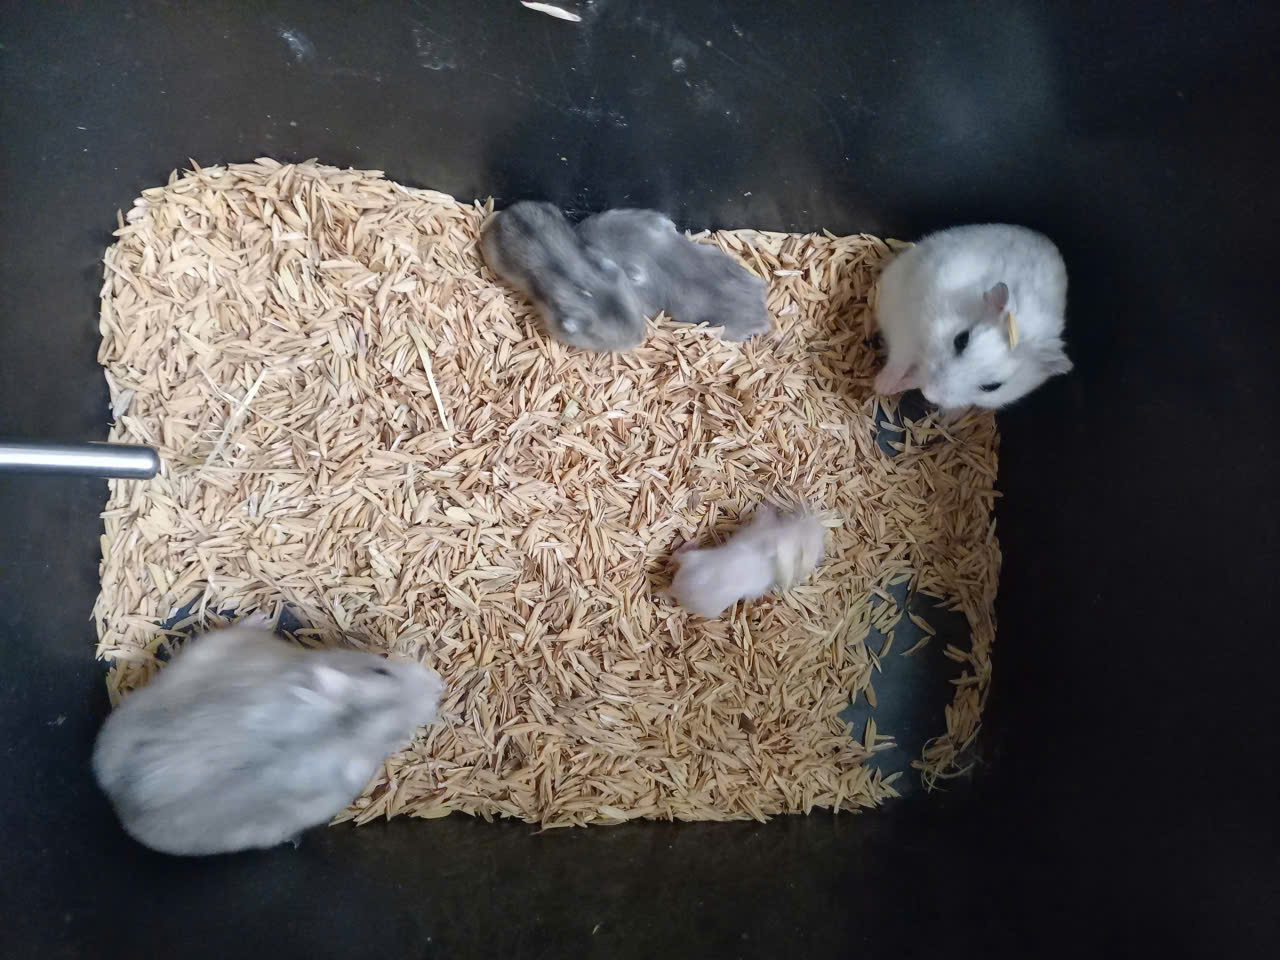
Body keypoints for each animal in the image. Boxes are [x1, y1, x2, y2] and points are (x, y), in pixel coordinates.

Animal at [873, 223, 1072, 410]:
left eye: (992, 387)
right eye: (961, 339)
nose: (927, 393)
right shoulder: (909, 322)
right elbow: (901, 357)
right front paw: (882, 387)